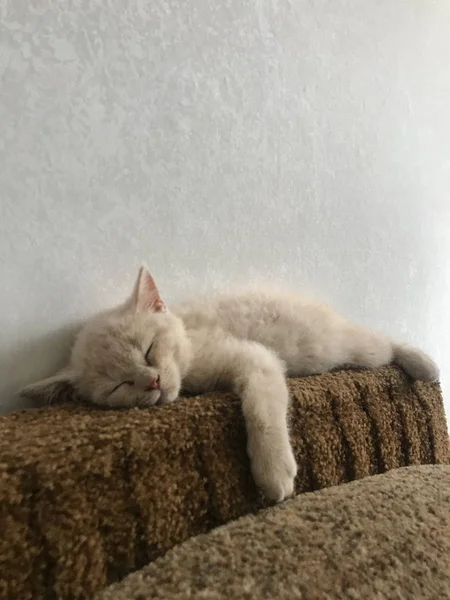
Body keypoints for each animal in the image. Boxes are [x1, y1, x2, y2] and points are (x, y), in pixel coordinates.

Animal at [22, 268, 440, 502]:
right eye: (119, 385)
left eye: (149, 351)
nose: (152, 382)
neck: (188, 342)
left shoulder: (256, 358)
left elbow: (262, 410)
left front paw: (273, 471)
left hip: (339, 346)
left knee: (383, 343)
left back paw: (423, 363)